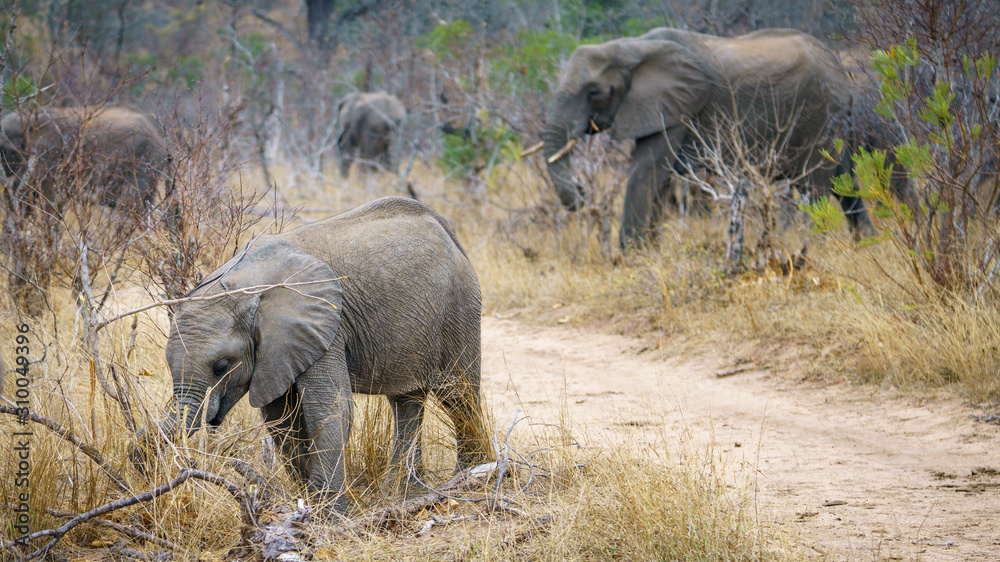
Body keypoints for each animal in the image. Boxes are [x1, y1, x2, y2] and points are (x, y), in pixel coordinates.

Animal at [151, 196, 488, 511]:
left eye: (221, 366)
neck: (242, 285)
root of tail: (444, 228)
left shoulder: (326, 325)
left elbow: (330, 409)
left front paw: (331, 517)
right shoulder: (276, 349)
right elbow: (281, 418)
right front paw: (310, 501)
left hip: (459, 307)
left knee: (459, 396)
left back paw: (469, 479)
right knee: (407, 401)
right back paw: (404, 494)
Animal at [542, 27, 864, 248]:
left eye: (594, 92)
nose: (582, 192)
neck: (630, 46)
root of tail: (840, 68)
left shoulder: (677, 108)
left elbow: (645, 171)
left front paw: (627, 257)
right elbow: (659, 180)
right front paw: (648, 252)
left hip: (821, 112)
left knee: (814, 186)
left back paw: (811, 250)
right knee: (845, 180)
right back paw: (864, 244)